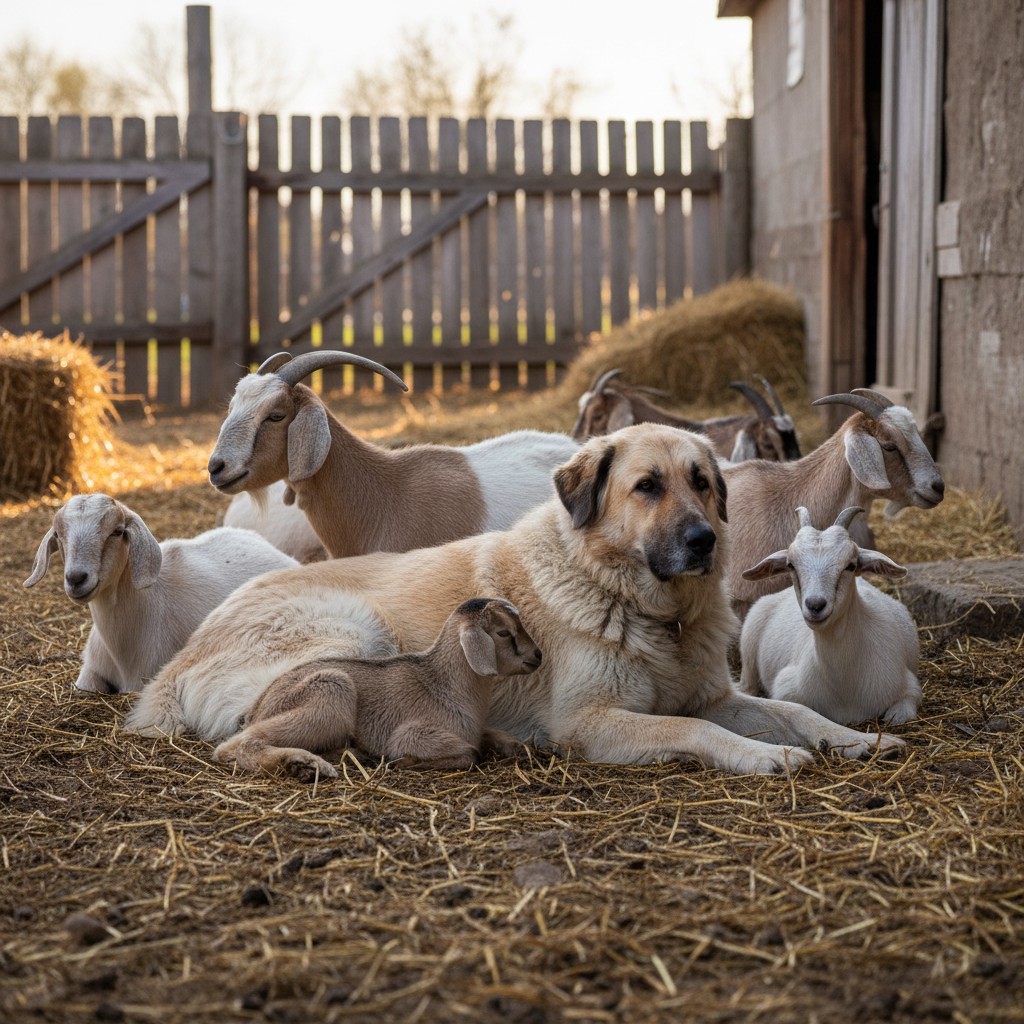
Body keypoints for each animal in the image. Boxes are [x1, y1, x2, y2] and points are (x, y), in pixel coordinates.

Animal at [210, 597, 541, 780]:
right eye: (503, 632)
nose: (538, 656)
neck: (444, 683)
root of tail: (257, 707)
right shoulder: (412, 734)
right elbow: (469, 753)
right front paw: (407, 762)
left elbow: (491, 737)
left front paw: (516, 746)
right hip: (330, 692)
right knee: (236, 746)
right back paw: (304, 764)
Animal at [739, 507, 921, 726]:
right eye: (791, 565)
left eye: (851, 565)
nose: (815, 605)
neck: (845, 687)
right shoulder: (786, 689)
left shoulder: (908, 684)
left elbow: (902, 711)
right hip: (749, 643)